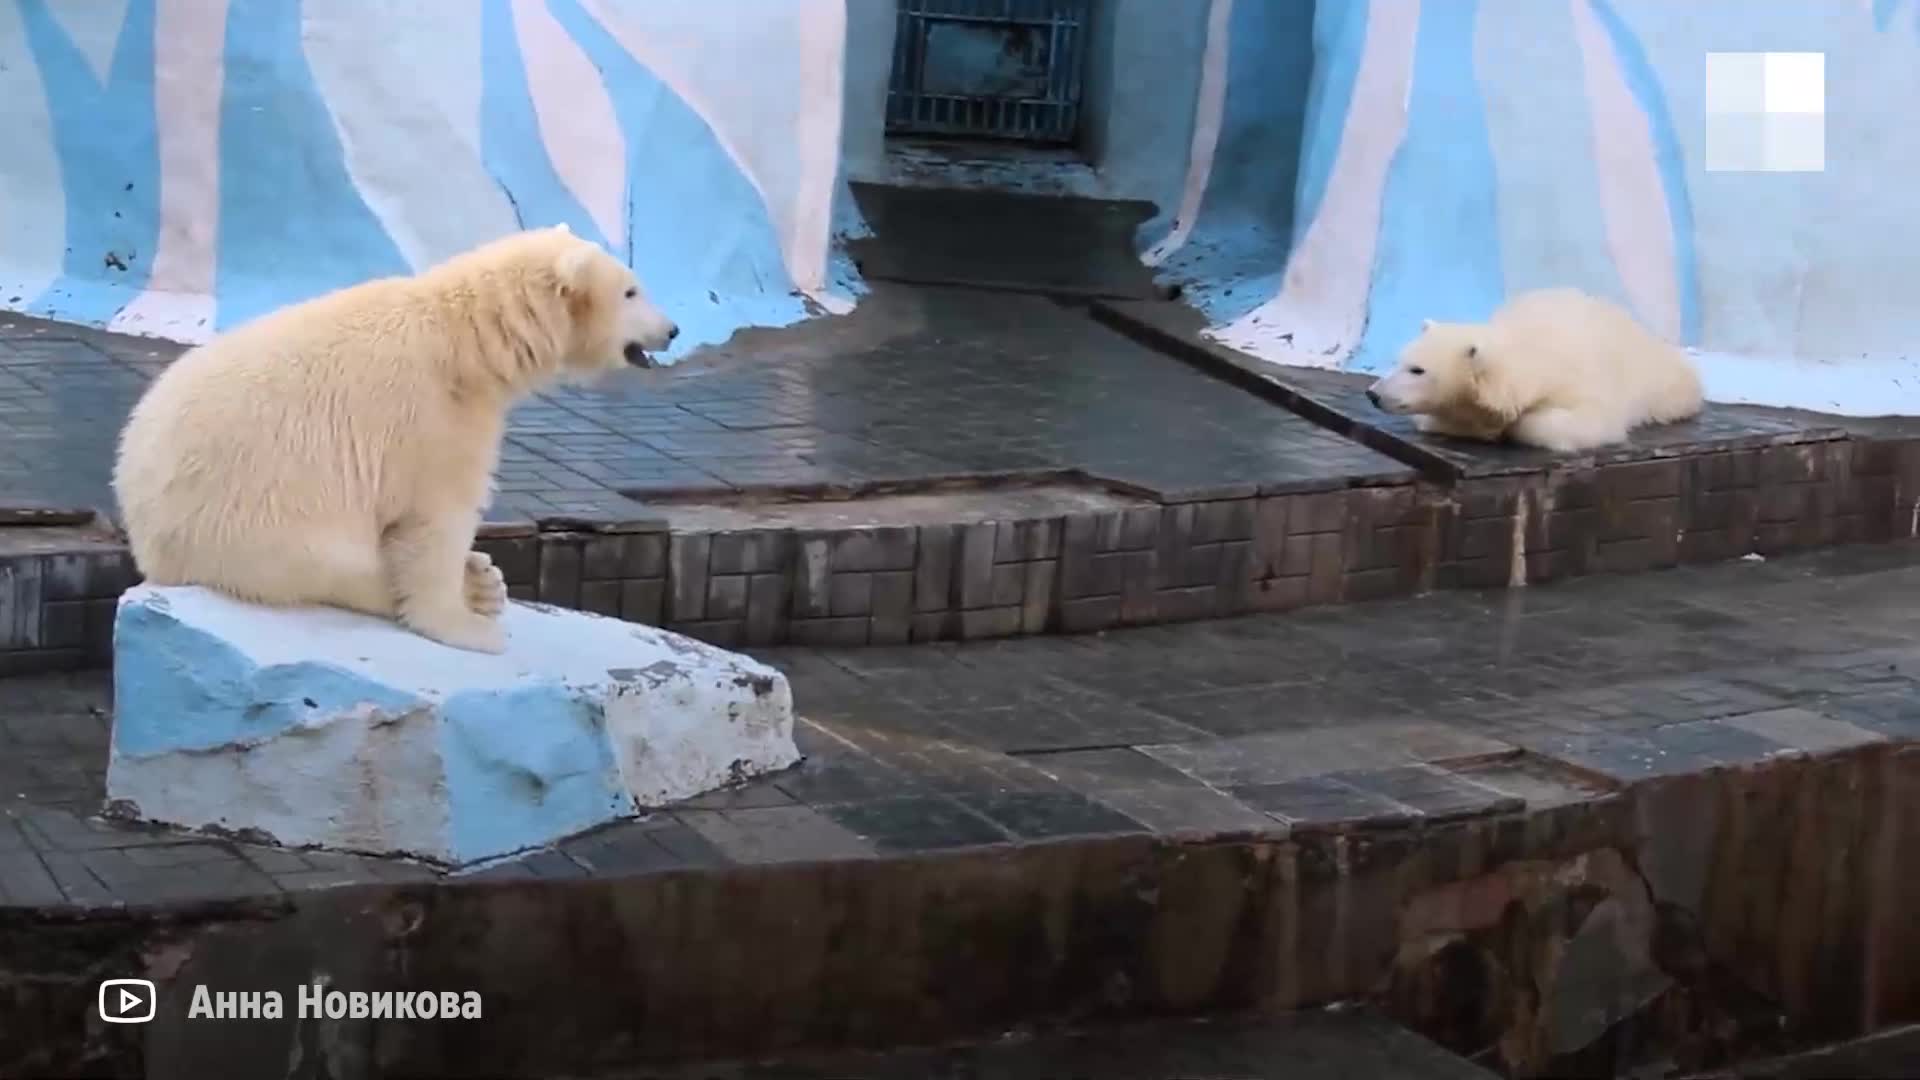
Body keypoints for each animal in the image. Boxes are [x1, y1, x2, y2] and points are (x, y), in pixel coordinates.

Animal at [112, 222, 679, 653]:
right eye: (631, 290)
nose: (672, 330)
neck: (469, 339)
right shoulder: (435, 418)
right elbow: (436, 521)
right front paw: (468, 627)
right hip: (255, 516)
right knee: (332, 565)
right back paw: (478, 587)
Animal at [1367, 286, 1712, 449]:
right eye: (1398, 360)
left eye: (1417, 370)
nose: (1373, 394)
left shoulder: (1582, 382)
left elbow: (1591, 422)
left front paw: (1514, 426)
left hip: (1660, 380)